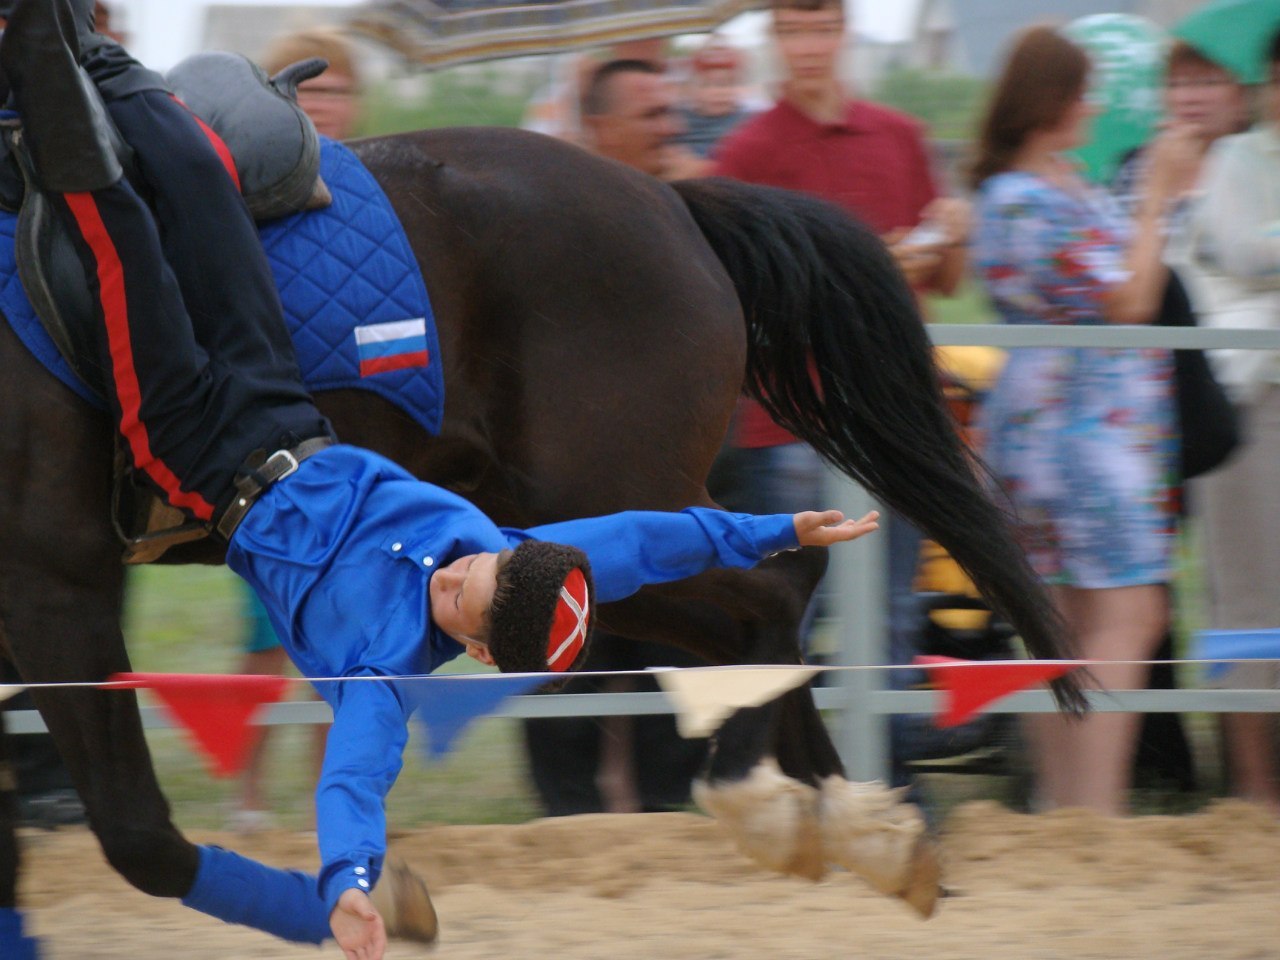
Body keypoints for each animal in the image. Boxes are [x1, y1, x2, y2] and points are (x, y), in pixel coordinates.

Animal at [0, 124, 1075, 942]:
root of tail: (672, 200)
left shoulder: (56, 584)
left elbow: (137, 834)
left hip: (586, 503)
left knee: (773, 590)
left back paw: (783, 811)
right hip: (569, 524)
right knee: (762, 608)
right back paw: (863, 833)